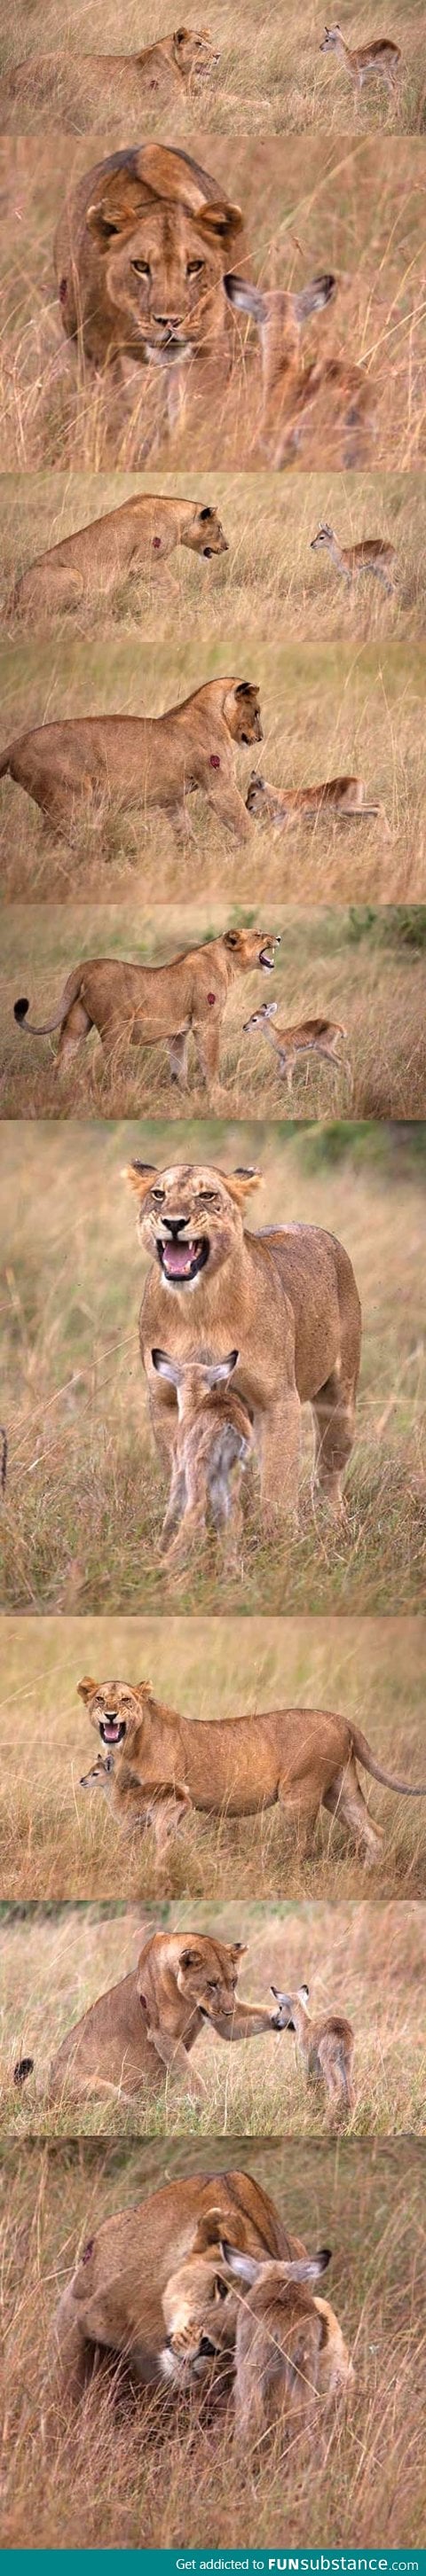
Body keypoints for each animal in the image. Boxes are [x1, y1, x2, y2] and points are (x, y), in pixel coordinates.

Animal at [149, 1350, 253, 1566]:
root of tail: (229, 1420)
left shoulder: (179, 1469)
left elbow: (172, 1512)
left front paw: (159, 1551)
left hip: (196, 1468)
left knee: (196, 1507)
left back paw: (163, 1565)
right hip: (230, 1470)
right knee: (234, 1512)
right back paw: (230, 1566)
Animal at [271, 1978, 353, 2122]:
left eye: (281, 2006)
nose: (276, 2020)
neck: (306, 2025)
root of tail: (342, 2030)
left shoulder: (310, 2058)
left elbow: (310, 2080)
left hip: (328, 2060)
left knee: (335, 2087)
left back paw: (326, 2122)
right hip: (346, 2060)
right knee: (350, 2088)